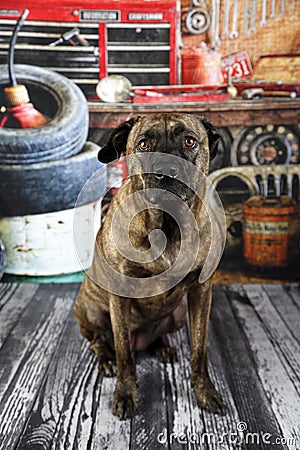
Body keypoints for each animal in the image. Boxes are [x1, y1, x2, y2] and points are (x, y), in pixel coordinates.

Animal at [74, 112, 226, 418]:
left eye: (189, 141)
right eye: (143, 144)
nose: (167, 171)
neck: (168, 225)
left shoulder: (201, 293)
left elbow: (200, 350)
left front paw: (205, 392)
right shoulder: (120, 296)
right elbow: (124, 354)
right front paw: (125, 393)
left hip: (177, 315)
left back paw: (161, 346)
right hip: (91, 311)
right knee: (99, 341)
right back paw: (106, 360)